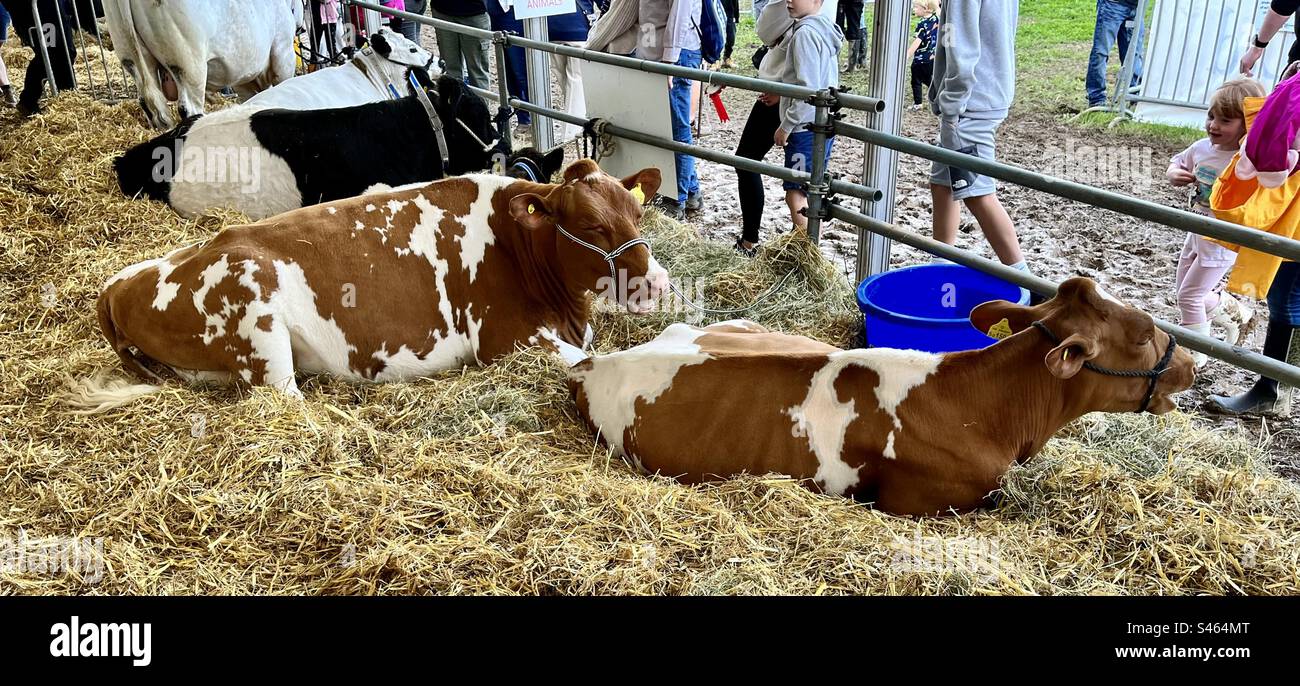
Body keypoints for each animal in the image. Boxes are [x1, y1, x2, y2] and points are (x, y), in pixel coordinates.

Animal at [63, 160, 668, 412]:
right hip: (258, 321)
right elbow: (581, 359)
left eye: (639, 214)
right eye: (591, 226)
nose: (659, 282)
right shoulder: (505, 338)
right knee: (287, 400)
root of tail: (114, 290)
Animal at [101, 0, 303, 129]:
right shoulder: (283, 51)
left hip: (131, 54)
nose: (300, 28)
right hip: (188, 62)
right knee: (188, 108)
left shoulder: (242, 76)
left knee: (152, 108)